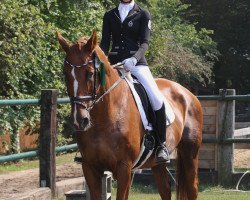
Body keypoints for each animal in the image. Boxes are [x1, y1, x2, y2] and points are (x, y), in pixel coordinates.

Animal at [57, 31, 203, 200]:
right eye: (65, 73)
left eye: (90, 74)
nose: (79, 120)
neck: (103, 119)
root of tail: (187, 93)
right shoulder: (90, 168)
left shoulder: (124, 167)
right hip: (157, 163)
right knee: (165, 189)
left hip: (190, 152)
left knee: (192, 188)